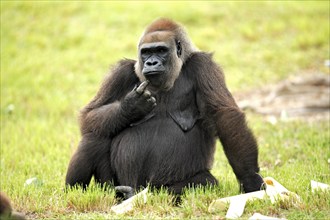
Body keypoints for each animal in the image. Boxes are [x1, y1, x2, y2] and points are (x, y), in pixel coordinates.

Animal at [65, 18, 264, 197]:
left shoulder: (203, 65)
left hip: (155, 187)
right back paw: (75, 191)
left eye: (161, 50)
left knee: (205, 181)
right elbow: (89, 114)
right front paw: (130, 107)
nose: (151, 63)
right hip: (111, 185)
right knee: (95, 134)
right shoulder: (121, 72)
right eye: (146, 52)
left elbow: (223, 113)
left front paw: (250, 179)